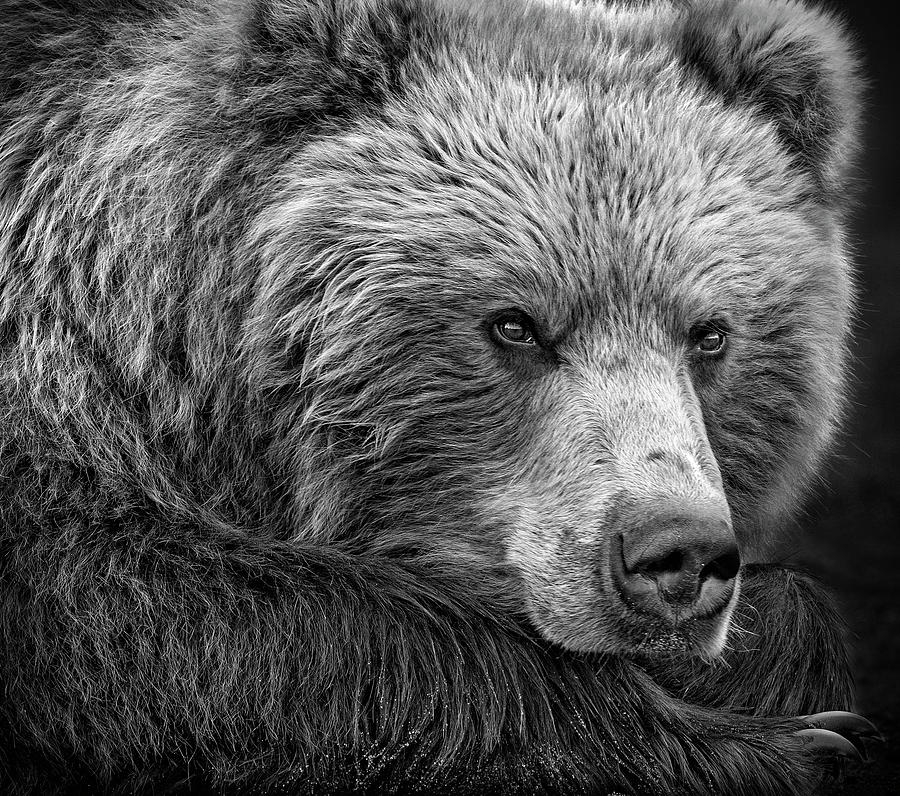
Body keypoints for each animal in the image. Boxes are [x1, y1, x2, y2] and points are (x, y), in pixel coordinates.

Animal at [0, 0, 872, 792]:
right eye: (514, 325)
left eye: (710, 335)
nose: (677, 552)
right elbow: (202, 627)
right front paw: (771, 746)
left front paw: (765, 664)